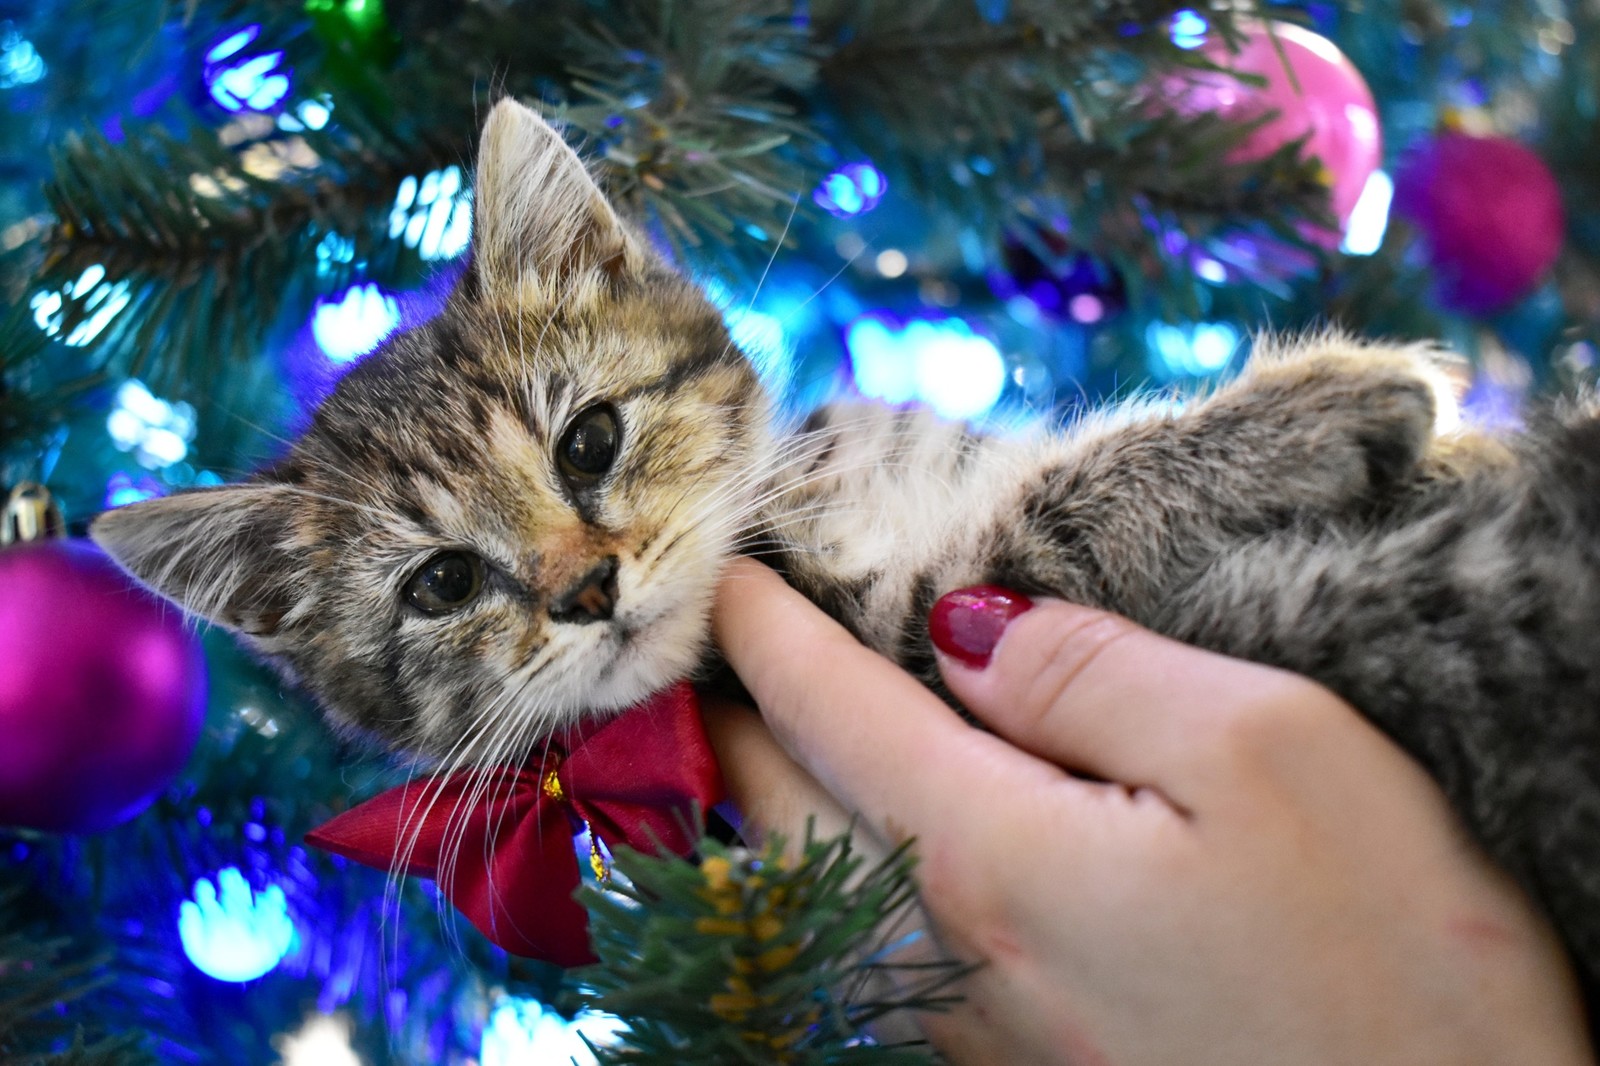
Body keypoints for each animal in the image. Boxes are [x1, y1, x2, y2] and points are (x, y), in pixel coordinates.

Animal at [96, 95, 1600, 1011]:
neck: (821, 500)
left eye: (589, 440)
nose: (587, 588)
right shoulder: (925, 626)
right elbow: (1046, 518)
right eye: (443, 583)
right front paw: (1332, 399)